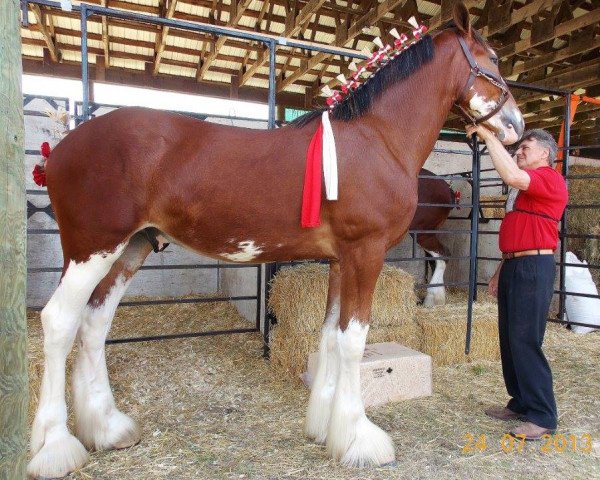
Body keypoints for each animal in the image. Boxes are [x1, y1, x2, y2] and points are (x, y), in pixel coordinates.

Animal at [28, 2, 524, 476]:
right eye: (494, 60)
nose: (517, 126)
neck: (377, 139)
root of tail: (62, 146)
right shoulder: (365, 253)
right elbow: (353, 340)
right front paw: (360, 440)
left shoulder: (340, 260)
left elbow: (329, 335)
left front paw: (326, 427)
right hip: (92, 249)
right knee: (59, 322)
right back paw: (55, 446)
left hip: (131, 248)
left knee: (95, 322)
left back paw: (107, 428)